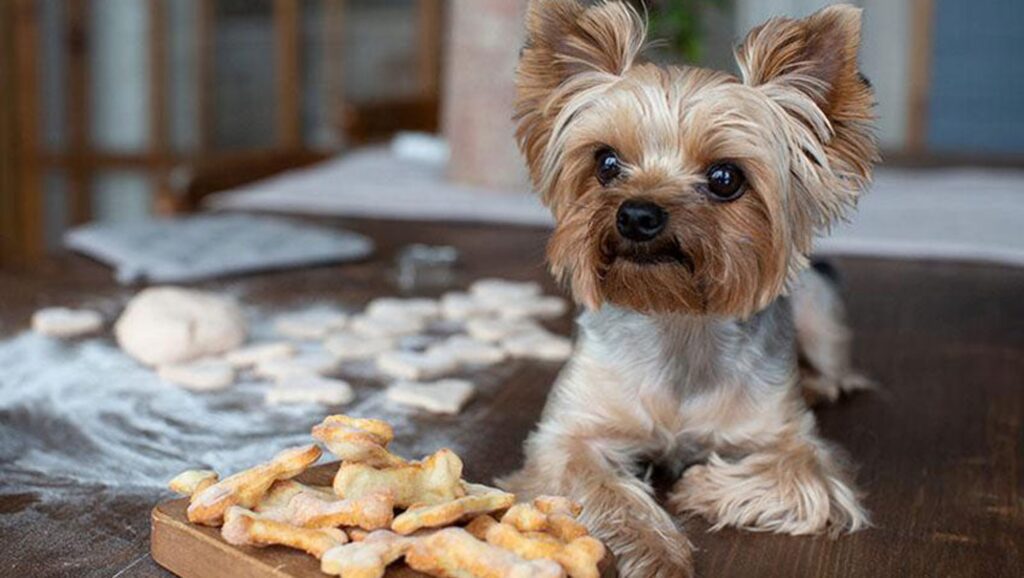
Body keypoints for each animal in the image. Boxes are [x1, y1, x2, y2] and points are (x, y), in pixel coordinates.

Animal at [499, 2, 876, 573]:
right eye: (606, 162)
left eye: (726, 178)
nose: (637, 214)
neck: (676, 318)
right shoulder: (567, 437)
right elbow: (602, 488)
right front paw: (658, 551)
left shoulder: (792, 440)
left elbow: (804, 479)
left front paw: (700, 485)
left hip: (820, 313)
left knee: (835, 371)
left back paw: (818, 381)